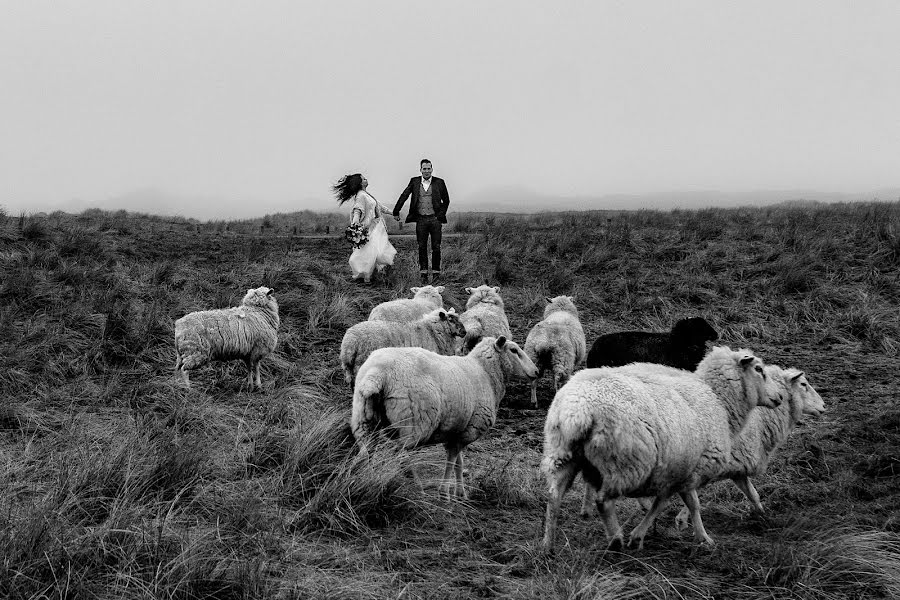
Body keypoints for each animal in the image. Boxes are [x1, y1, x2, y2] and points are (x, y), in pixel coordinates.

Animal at [350, 336, 536, 500]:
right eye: (514, 350)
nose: (537, 372)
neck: (486, 374)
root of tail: (377, 374)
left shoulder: (457, 431)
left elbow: (459, 463)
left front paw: (460, 494)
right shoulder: (469, 430)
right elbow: (452, 461)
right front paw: (445, 492)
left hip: (364, 419)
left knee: (365, 453)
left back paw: (359, 481)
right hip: (414, 424)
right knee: (401, 455)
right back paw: (418, 487)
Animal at [540, 344, 780, 552]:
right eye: (759, 369)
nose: (779, 397)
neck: (719, 400)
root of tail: (578, 410)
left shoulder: (674, 471)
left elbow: (663, 503)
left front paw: (642, 534)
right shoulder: (691, 471)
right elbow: (689, 504)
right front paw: (703, 537)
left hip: (562, 453)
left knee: (553, 497)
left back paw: (548, 545)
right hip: (624, 463)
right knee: (603, 502)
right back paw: (615, 540)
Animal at [672, 364, 828, 528]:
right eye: (803, 384)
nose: (824, 405)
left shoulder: (737, 465)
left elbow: (753, 494)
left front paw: (763, 517)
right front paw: (682, 519)